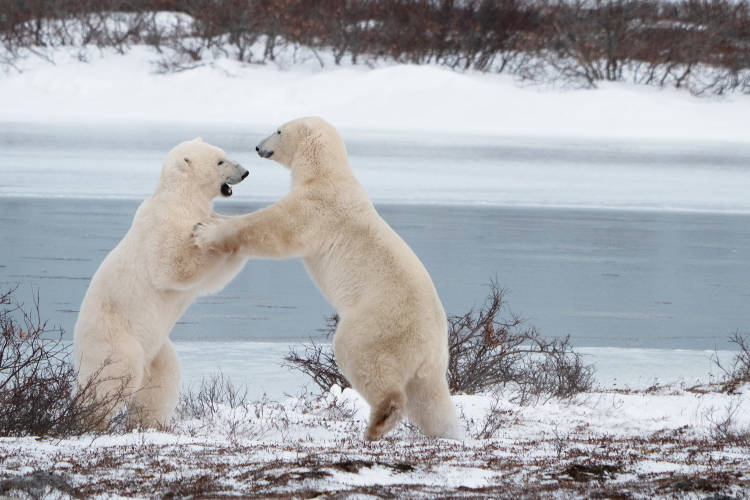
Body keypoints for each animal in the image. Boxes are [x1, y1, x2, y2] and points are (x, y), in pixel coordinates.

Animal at [75, 139, 250, 428]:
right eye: (220, 161)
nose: (245, 172)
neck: (182, 198)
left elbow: (213, 279)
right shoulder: (163, 223)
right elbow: (172, 264)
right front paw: (207, 233)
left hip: (157, 348)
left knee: (162, 381)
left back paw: (149, 423)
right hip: (115, 337)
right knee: (113, 376)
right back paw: (89, 419)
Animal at [197, 117, 462, 442]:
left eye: (279, 129)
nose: (258, 147)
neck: (326, 171)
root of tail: (431, 341)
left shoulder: (317, 208)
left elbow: (272, 229)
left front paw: (206, 230)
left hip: (378, 323)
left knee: (360, 356)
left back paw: (379, 420)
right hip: (430, 362)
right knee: (430, 399)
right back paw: (449, 432)